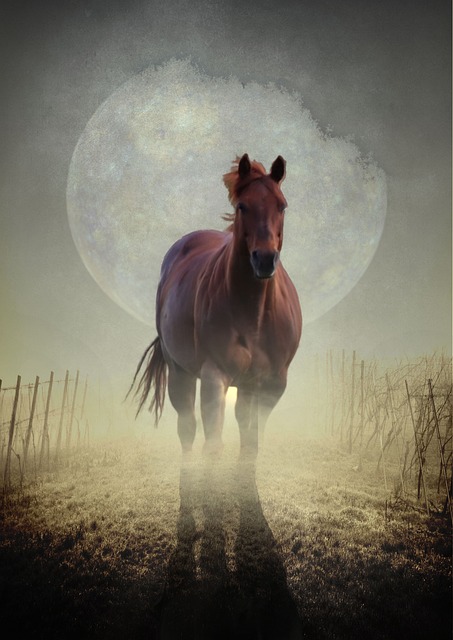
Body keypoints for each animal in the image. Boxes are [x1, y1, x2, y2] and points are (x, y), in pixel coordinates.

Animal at [130, 153, 302, 456]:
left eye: (282, 205)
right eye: (242, 206)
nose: (265, 259)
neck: (254, 315)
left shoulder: (271, 385)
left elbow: (251, 444)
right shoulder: (214, 376)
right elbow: (213, 444)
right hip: (180, 374)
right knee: (187, 429)